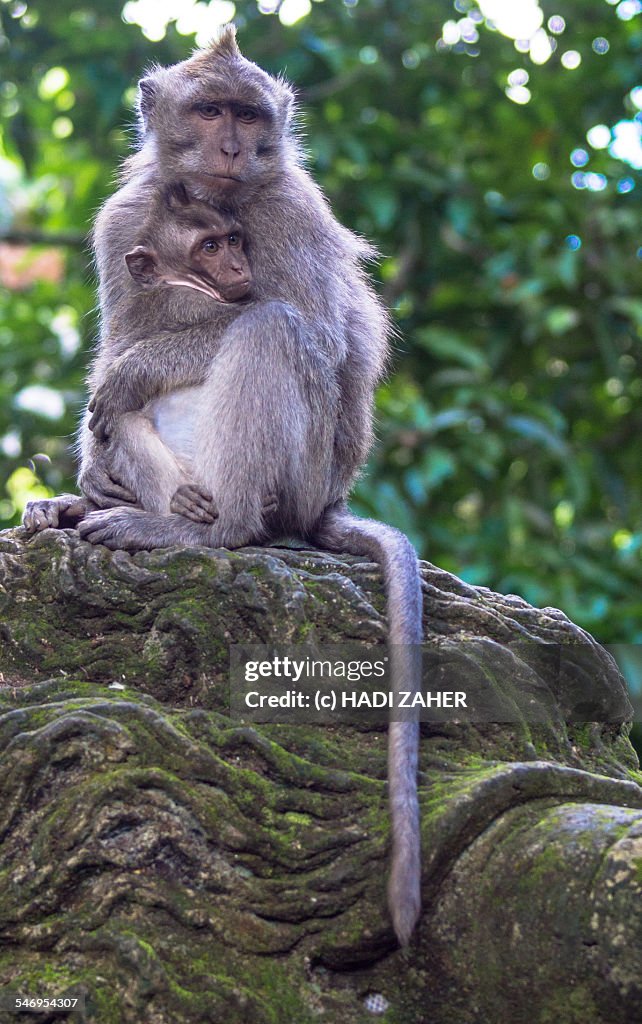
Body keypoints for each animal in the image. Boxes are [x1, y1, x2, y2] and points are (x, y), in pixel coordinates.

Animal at [28, 28, 427, 946]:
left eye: (249, 116)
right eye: (210, 111)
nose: (236, 147)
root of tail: (328, 502)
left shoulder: (287, 209)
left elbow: (304, 330)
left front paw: (134, 378)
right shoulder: (123, 221)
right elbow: (122, 327)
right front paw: (88, 471)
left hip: (302, 474)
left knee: (274, 329)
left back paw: (210, 532)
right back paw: (101, 500)